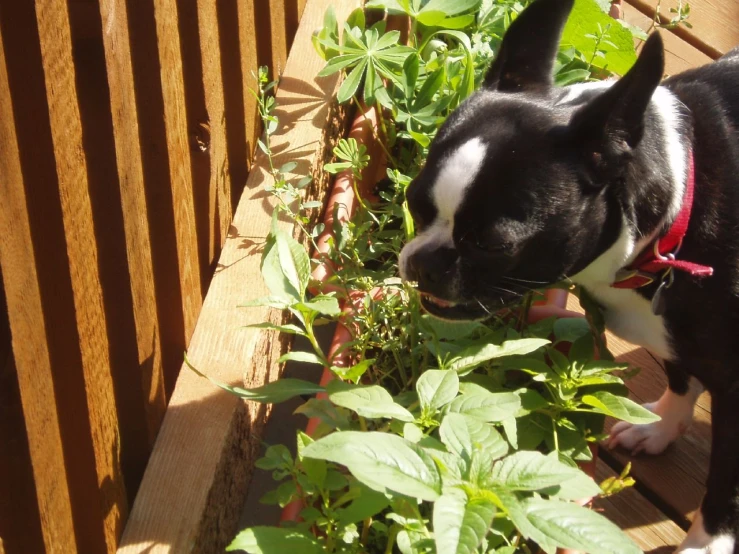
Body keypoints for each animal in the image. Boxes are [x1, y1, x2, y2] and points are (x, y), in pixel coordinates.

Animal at [402, 0, 739, 548]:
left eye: (493, 244)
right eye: (414, 201)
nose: (421, 263)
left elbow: (724, 484)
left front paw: (706, 543)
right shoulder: (673, 335)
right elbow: (680, 376)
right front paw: (659, 427)